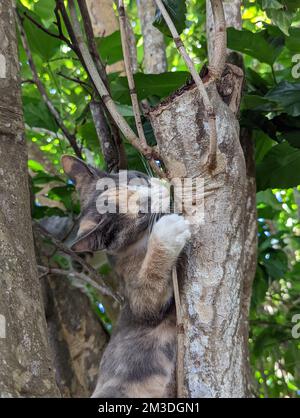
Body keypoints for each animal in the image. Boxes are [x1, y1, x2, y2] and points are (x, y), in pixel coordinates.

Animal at [61, 155, 191, 396]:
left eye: (138, 178)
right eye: (141, 212)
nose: (159, 192)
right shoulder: (139, 302)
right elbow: (149, 291)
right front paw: (168, 230)